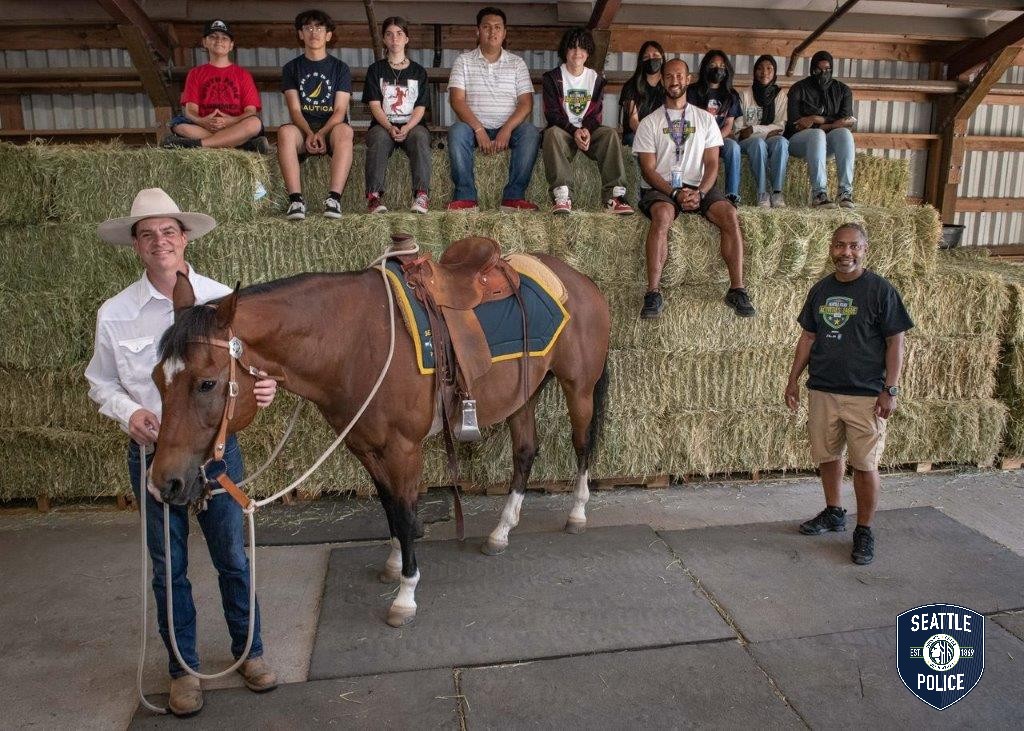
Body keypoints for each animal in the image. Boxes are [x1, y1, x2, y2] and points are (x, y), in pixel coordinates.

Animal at [146, 240, 606, 626]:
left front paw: (406, 594)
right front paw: (394, 562)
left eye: (206, 383)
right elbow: (390, 507)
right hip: (522, 395)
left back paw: (578, 513)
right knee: (525, 451)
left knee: (582, 444)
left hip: (579, 388)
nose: (164, 483)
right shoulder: (365, 446)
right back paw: (501, 531)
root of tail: (577, 278)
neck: (351, 342)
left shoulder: (403, 449)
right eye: (156, 378)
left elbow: (405, 510)